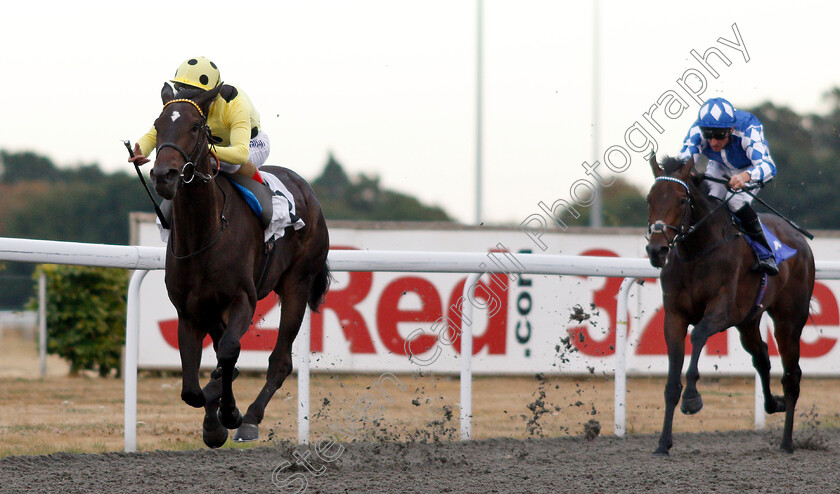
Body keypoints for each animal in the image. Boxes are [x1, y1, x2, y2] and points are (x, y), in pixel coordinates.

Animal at [149, 84, 330, 448]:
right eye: (158, 125)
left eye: (195, 127)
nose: (164, 175)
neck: (204, 234)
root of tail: (307, 190)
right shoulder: (190, 310)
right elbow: (191, 388)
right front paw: (213, 422)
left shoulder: (243, 299)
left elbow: (230, 351)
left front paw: (229, 413)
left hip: (297, 284)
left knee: (279, 361)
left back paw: (249, 419)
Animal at [644, 155, 812, 456]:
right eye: (649, 199)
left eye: (681, 200)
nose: (657, 250)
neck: (697, 252)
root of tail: (800, 241)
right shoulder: (674, 316)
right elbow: (672, 381)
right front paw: (663, 443)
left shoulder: (722, 311)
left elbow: (698, 334)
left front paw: (692, 399)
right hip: (749, 321)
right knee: (762, 356)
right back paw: (774, 404)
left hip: (789, 320)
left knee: (792, 375)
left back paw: (787, 442)